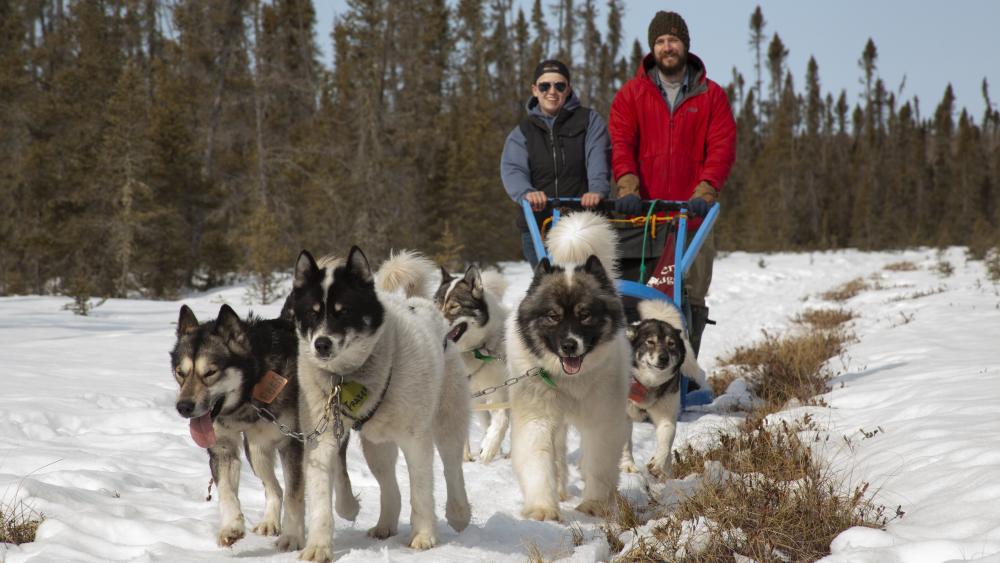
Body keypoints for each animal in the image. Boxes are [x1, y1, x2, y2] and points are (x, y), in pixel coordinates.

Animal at [292, 249, 472, 560]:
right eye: (311, 314)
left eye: (344, 311)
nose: (321, 344)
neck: (348, 378)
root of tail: (420, 304)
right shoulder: (322, 440)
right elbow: (322, 499)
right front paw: (318, 546)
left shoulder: (416, 440)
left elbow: (421, 490)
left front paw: (424, 535)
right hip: (376, 445)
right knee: (390, 486)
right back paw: (385, 524)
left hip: (447, 422)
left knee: (452, 469)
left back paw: (459, 513)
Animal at [436, 266, 512, 464]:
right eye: (436, 305)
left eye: (454, 306)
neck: (473, 352)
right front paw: (463, 457)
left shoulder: (499, 392)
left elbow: (501, 420)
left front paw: (489, 448)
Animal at [504, 212, 628, 520]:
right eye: (552, 316)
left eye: (585, 315)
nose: (570, 345)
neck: (568, 379)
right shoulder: (536, 419)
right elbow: (538, 464)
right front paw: (542, 509)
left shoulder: (602, 421)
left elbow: (598, 464)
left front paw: (595, 504)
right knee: (558, 455)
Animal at [620, 300, 708, 480]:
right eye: (650, 342)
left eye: (671, 344)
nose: (664, 358)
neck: (647, 383)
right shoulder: (623, 414)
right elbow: (625, 443)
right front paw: (628, 467)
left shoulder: (666, 415)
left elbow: (666, 441)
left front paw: (658, 464)